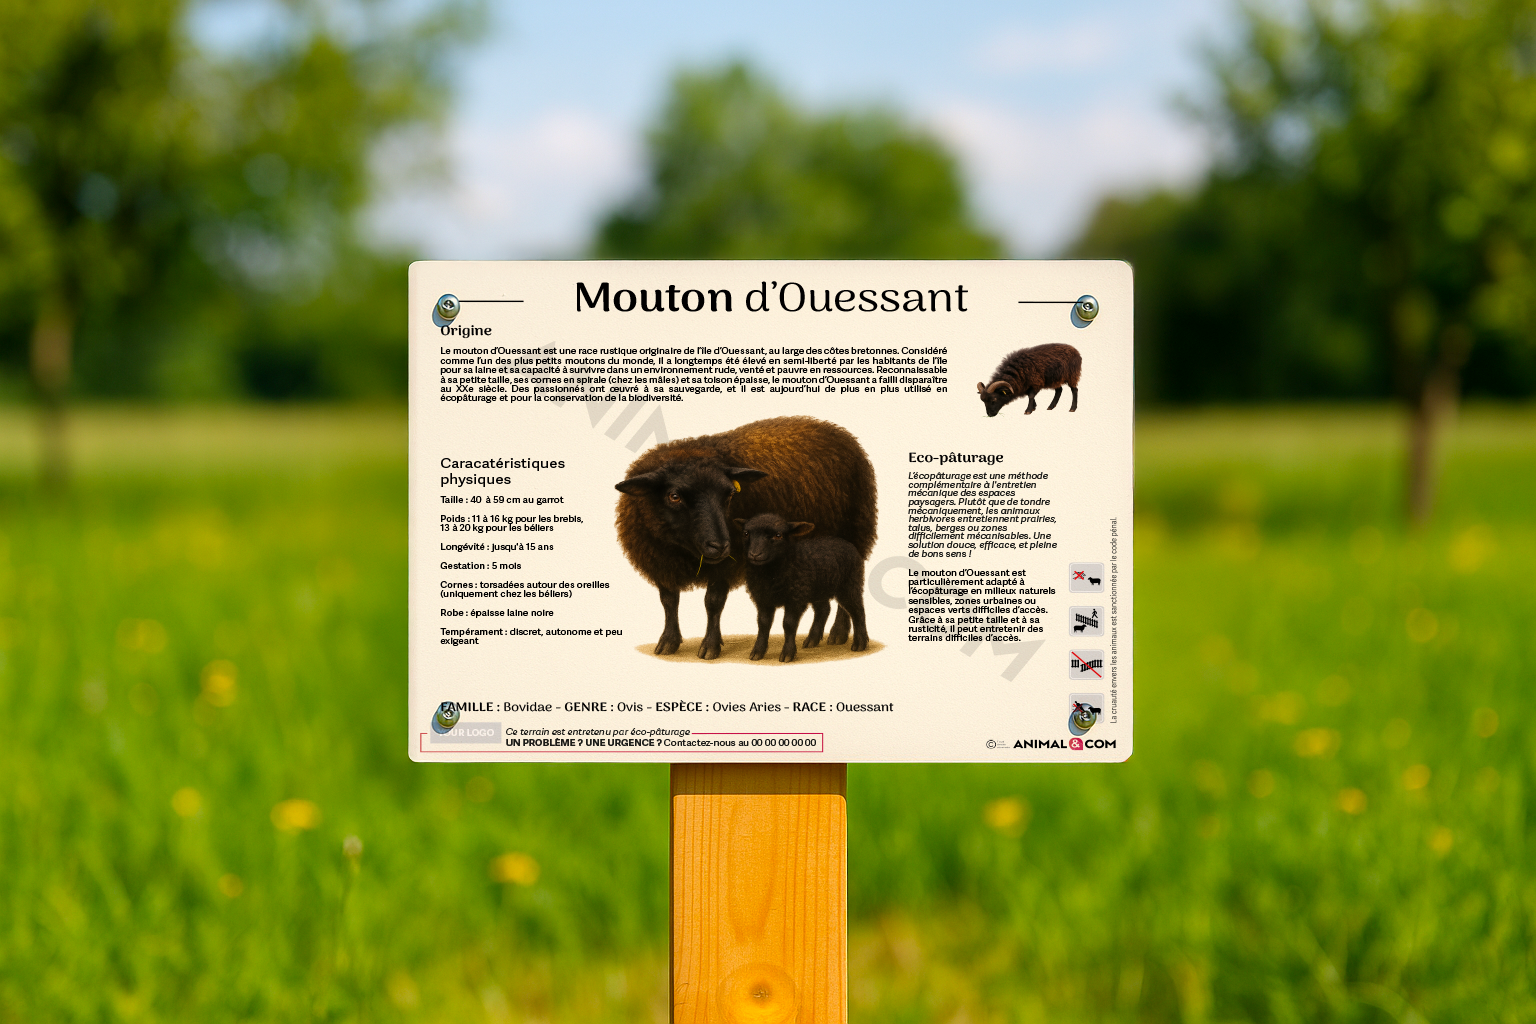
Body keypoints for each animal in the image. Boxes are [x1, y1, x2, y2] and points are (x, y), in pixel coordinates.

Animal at [734, 513, 868, 663]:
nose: (754, 554)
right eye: (746, 533)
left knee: (858, 611)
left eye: (778, 535)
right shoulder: (763, 599)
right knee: (824, 610)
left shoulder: (795, 599)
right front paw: (757, 652)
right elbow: (763, 624)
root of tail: (847, 543)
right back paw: (812, 640)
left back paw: (860, 643)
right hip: (818, 589)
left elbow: (788, 624)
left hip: (849, 585)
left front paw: (787, 654)